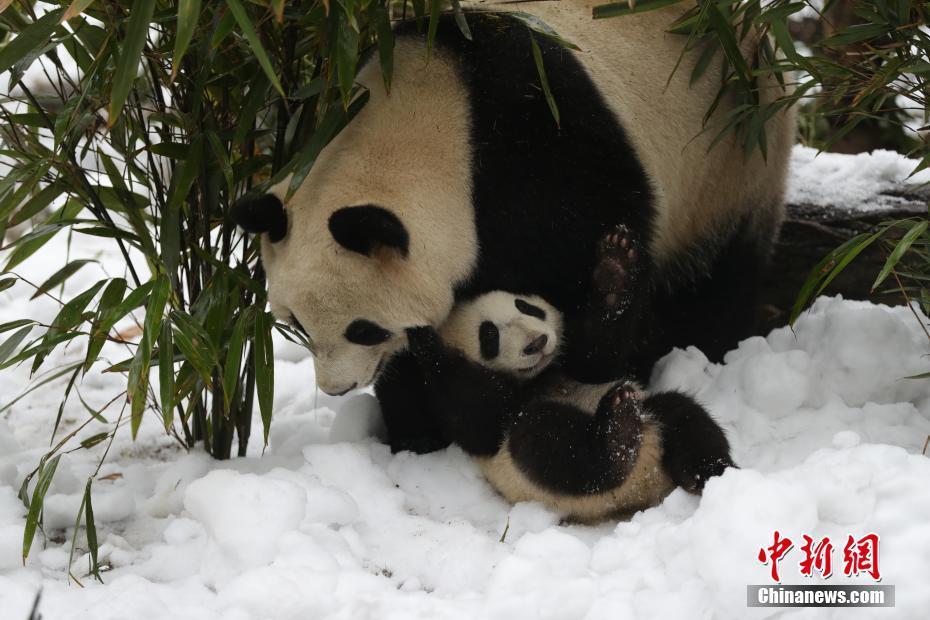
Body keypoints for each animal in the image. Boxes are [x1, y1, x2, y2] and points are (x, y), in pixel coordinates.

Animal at [232, 2, 792, 452]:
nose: (336, 388)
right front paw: (417, 435)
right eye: (298, 325)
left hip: (731, 163)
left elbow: (593, 321)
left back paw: (706, 348)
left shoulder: (552, 162)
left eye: (363, 328)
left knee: (717, 276)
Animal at [406, 286, 732, 524]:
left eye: (527, 307)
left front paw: (615, 275)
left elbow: (598, 358)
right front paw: (423, 339)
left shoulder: (572, 364)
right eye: (489, 335)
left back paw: (711, 475)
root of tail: (642, 487)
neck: (538, 378)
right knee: (546, 441)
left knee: (685, 417)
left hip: (654, 419)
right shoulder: (479, 422)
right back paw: (617, 435)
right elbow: (478, 418)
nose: (536, 343)